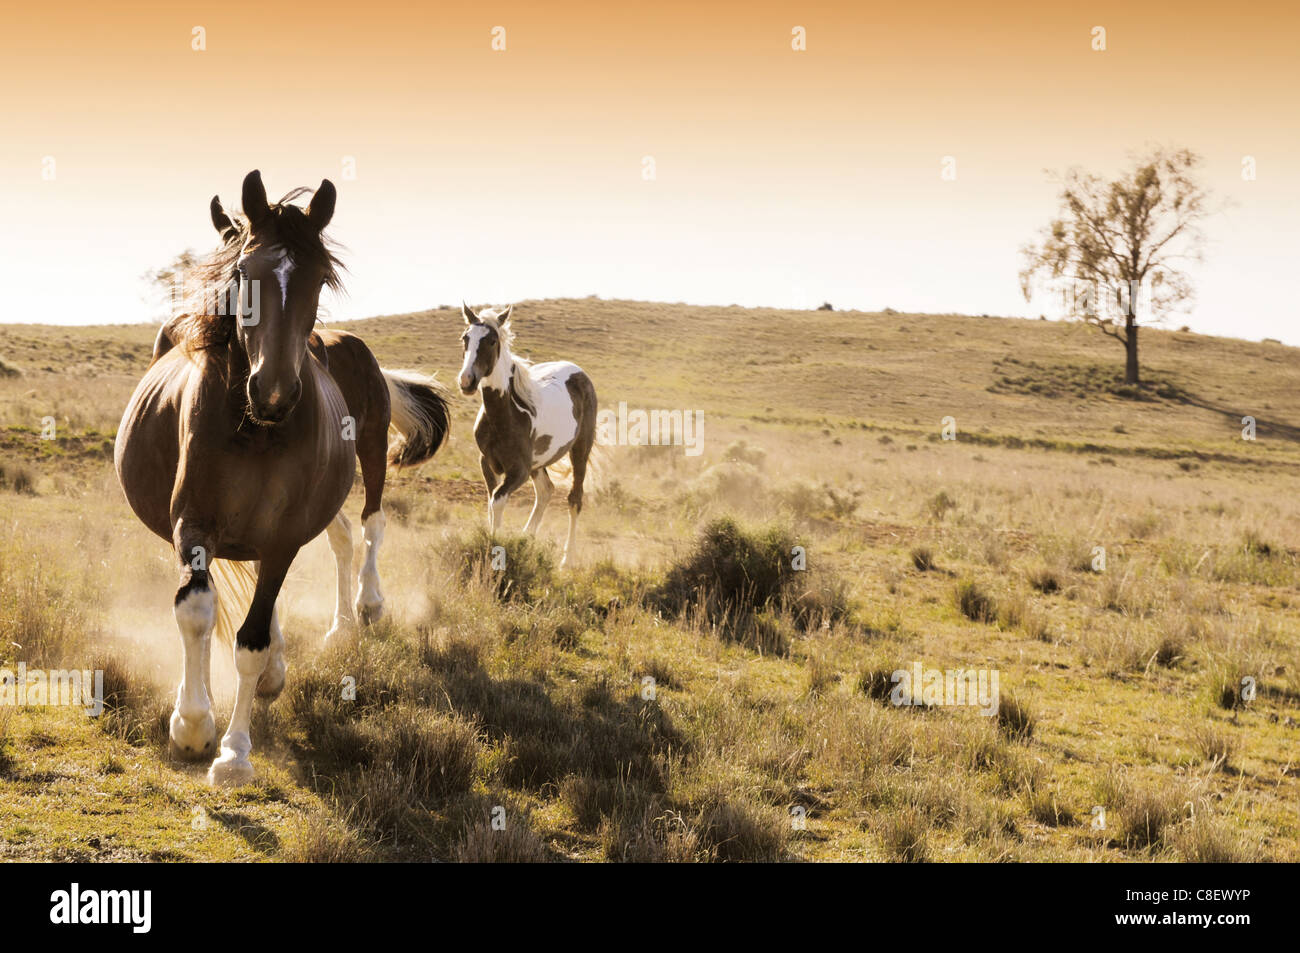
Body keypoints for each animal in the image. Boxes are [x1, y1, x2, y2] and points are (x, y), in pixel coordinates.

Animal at [118, 174, 452, 785]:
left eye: (319, 278)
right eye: (242, 273)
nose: (273, 392)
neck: (256, 428)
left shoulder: (283, 536)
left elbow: (249, 638)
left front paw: (233, 752)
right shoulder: (192, 524)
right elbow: (196, 611)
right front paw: (192, 723)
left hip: (369, 450)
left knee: (369, 524)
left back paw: (363, 609)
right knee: (335, 538)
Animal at [460, 302, 595, 564]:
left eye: (491, 340)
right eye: (465, 338)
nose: (466, 381)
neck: (506, 416)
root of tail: (580, 373)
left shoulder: (519, 471)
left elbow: (498, 501)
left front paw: (495, 549)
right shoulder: (487, 463)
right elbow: (491, 503)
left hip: (580, 450)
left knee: (574, 499)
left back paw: (567, 559)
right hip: (538, 463)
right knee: (545, 491)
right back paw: (526, 539)